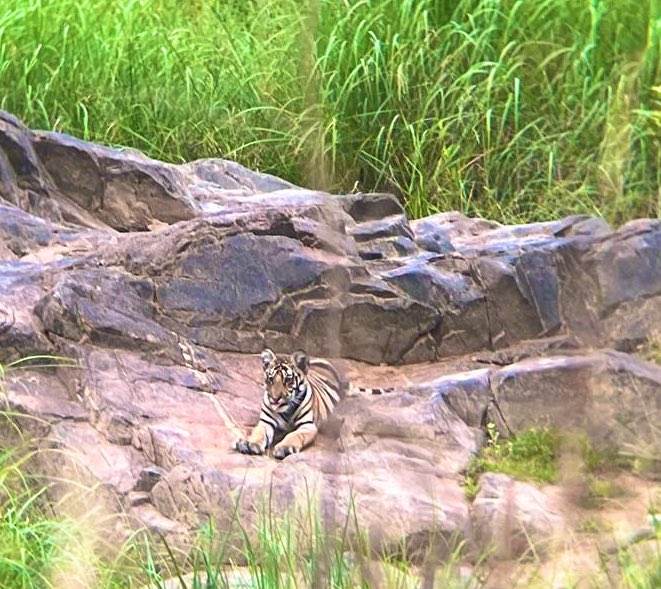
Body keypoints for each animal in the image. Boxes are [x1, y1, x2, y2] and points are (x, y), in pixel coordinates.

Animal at [234, 348, 391, 459]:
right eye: (270, 379)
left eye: (288, 380)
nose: (275, 398)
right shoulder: (266, 422)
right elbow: (258, 432)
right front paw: (250, 444)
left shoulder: (307, 426)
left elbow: (294, 436)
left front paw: (284, 447)